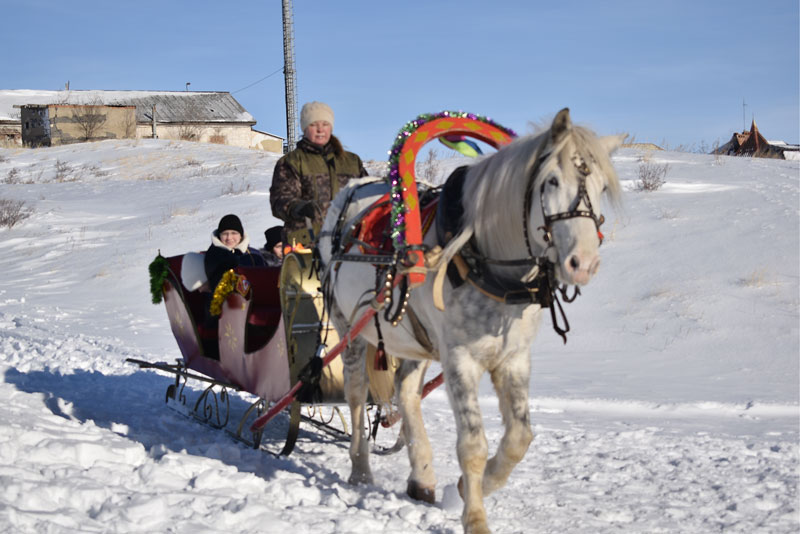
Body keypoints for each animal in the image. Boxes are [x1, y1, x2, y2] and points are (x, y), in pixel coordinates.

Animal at [318, 110, 624, 534]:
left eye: (601, 186)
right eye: (551, 181)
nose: (584, 264)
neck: (489, 264)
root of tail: (351, 191)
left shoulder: (514, 358)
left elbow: (519, 438)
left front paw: (468, 487)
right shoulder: (460, 359)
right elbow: (473, 445)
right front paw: (475, 518)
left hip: (416, 339)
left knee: (406, 391)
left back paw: (422, 476)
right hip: (351, 329)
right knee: (356, 395)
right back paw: (361, 471)